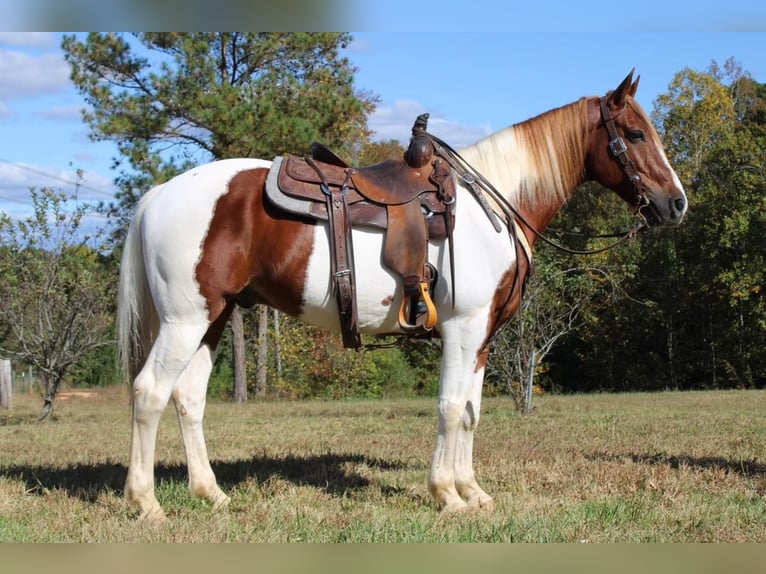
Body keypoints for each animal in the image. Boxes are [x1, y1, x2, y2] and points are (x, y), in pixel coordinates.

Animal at [118, 71, 688, 520]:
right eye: (635, 133)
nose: (677, 203)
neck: (490, 207)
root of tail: (159, 195)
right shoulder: (462, 328)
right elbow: (449, 407)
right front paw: (446, 495)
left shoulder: (482, 338)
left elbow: (470, 410)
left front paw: (472, 491)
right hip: (186, 321)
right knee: (149, 393)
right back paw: (147, 503)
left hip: (212, 319)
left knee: (188, 399)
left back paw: (211, 493)